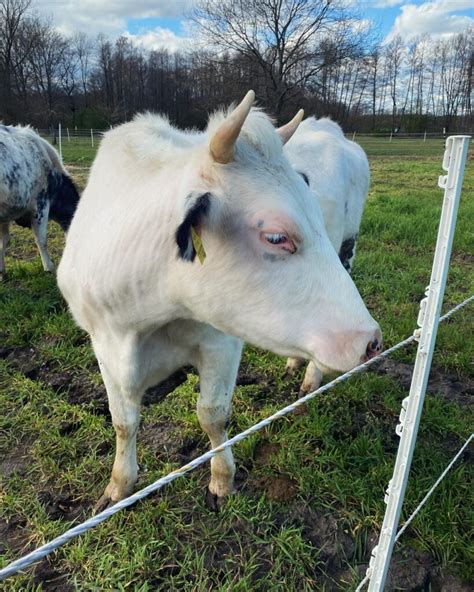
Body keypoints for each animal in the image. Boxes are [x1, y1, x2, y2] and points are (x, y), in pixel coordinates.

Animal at [0, 123, 80, 280]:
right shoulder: (41, 203)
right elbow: (41, 239)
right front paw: (49, 267)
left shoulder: (5, 216)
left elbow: (3, 242)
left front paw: (2, 272)